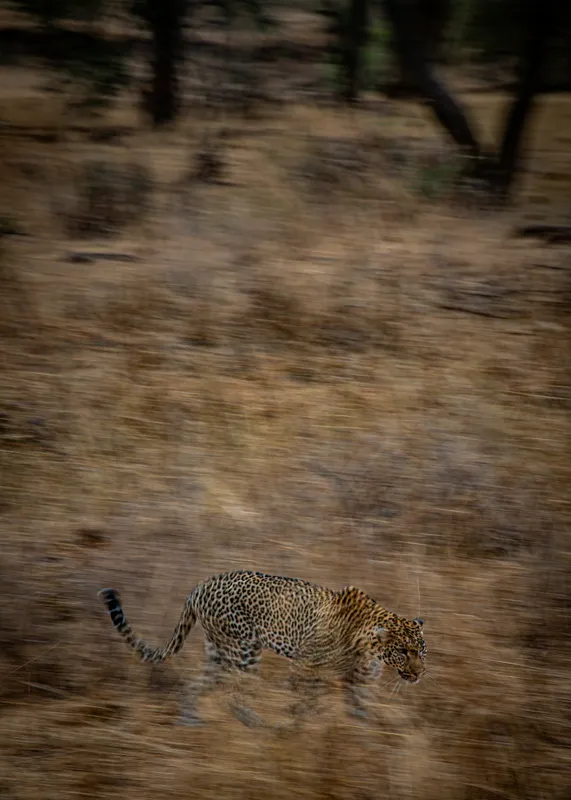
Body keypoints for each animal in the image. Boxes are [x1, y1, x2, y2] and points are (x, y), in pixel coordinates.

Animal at [98, 569, 426, 728]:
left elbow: (360, 710)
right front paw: (296, 727)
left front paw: (370, 735)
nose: (420, 673)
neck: (370, 646)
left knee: (195, 684)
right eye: (403, 651)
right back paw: (256, 725)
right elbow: (307, 701)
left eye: (421, 651)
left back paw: (189, 721)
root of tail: (200, 586)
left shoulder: (358, 682)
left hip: (219, 653)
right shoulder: (305, 666)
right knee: (234, 693)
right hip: (243, 649)